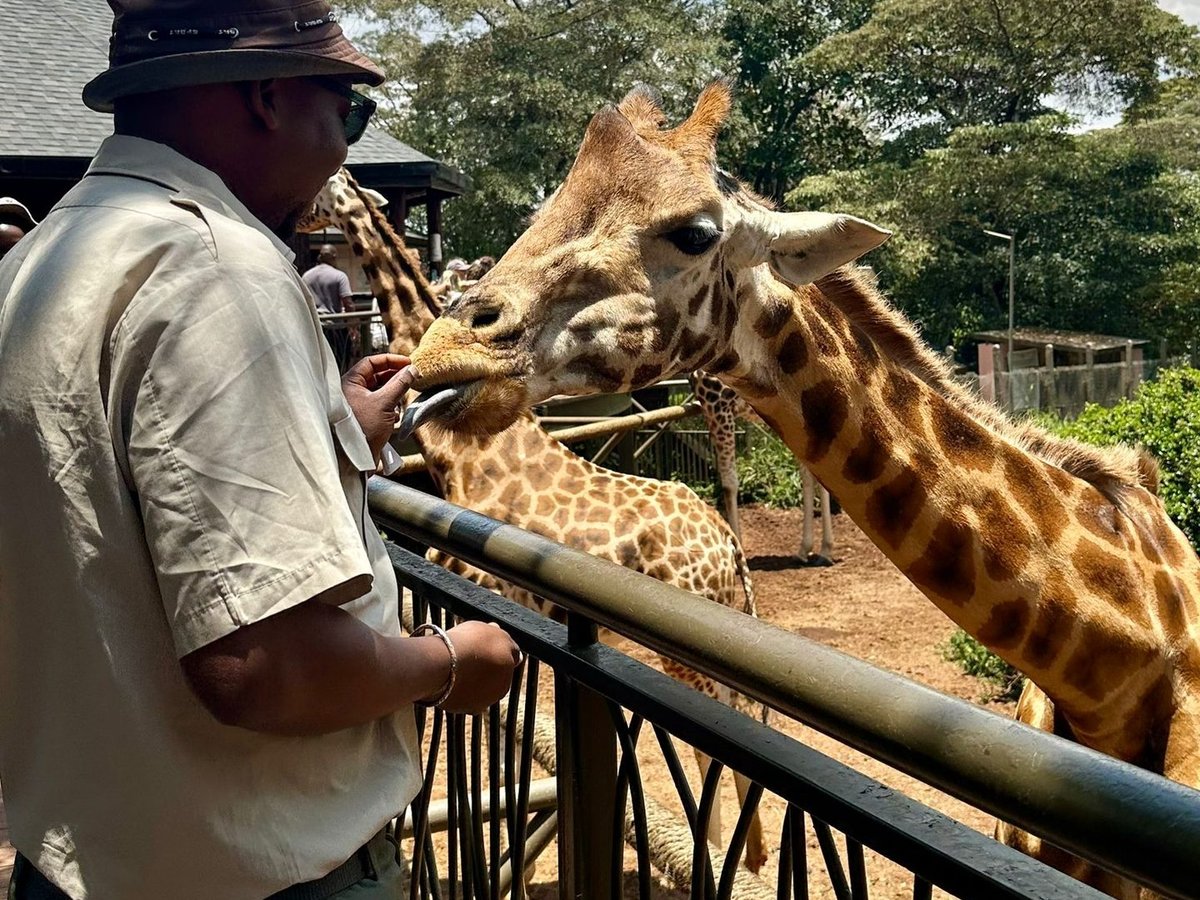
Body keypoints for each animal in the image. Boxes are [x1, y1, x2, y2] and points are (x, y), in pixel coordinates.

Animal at [310, 168, 769, 873]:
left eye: (329, 187)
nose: (305, 221)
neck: (465, 450)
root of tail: (727, 548)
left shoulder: (478, 590)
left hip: (691, 658)